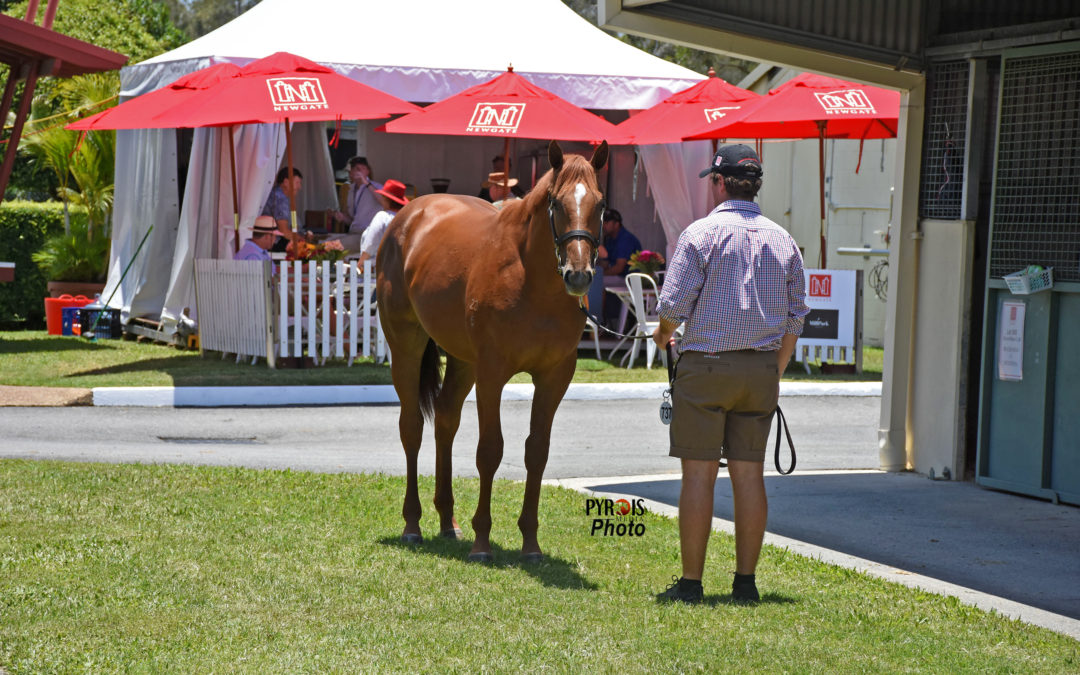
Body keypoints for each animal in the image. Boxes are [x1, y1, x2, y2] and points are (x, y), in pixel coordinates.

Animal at [375, 139, 609, 561]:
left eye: (599, 204)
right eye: (556, 203)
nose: (579, 275)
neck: (532, 282)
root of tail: (409, 215)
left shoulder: (554, 378)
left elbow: (537, 452)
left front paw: (530, 543)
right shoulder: (492, 374)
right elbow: (490, 451)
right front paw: (482, 542)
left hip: (462, 361)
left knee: (446, 420)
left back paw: (448, 522)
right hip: (406, 346)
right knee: (412, 427)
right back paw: (413, 524)